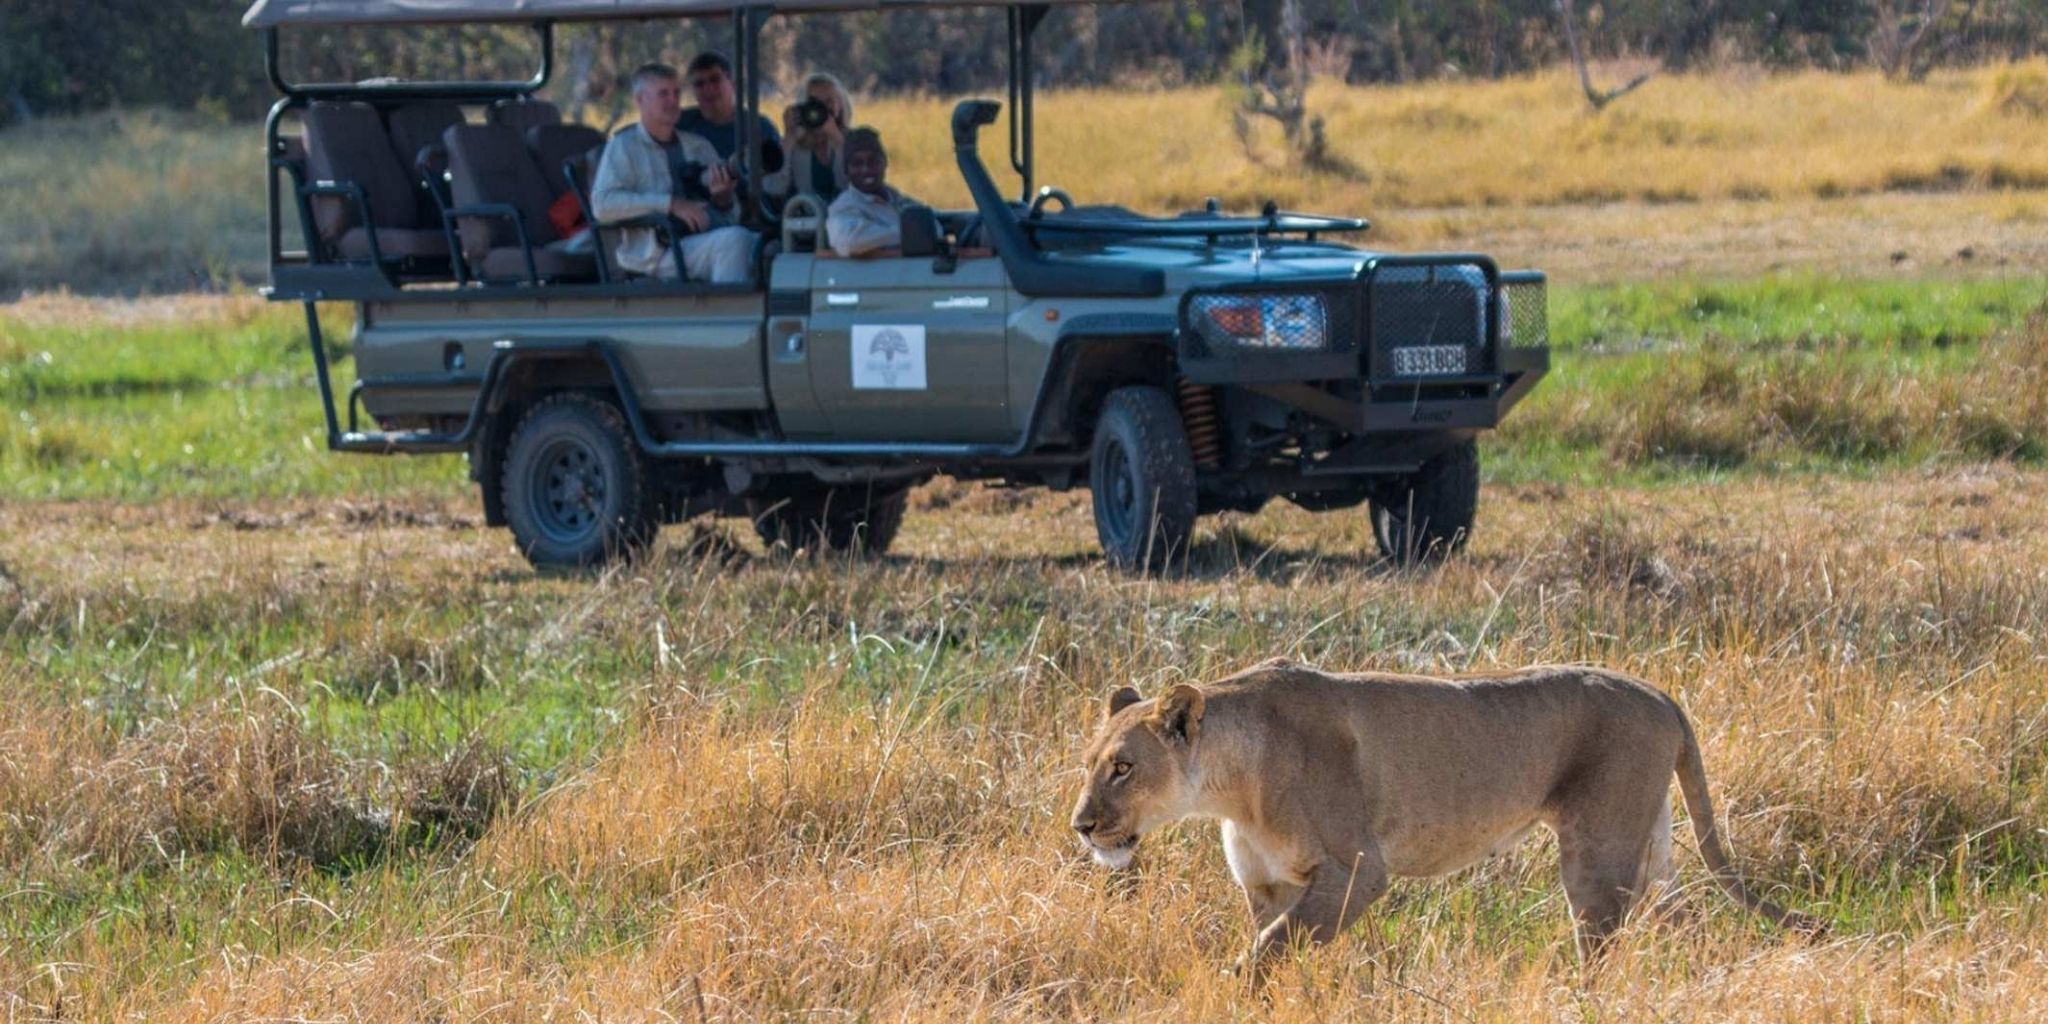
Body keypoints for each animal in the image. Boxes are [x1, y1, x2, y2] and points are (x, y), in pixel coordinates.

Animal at [1069, 658, 1824, 975]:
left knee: (1601, 940)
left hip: (1596, 849)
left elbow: (1271, 949)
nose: (1081, 826)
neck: (1230, 786)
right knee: (1680, 916)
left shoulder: (1358, 869)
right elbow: (1282, 946)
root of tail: (1658, 691)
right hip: (1652, 844)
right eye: (1089, 762)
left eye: (1124, 768)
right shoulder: (1269, 884)